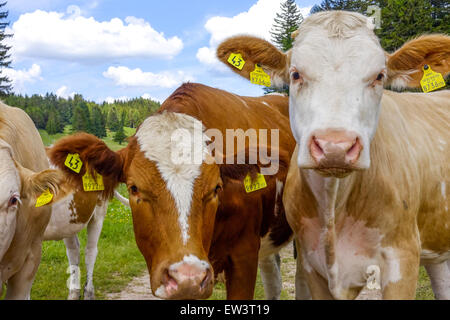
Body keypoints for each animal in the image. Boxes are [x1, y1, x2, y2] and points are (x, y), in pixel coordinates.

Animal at [217, 10, 450, 300]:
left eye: (379, 76)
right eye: (295, 74)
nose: (335, 147)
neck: (334, 206)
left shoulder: (403, 258)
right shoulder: (311, 263)